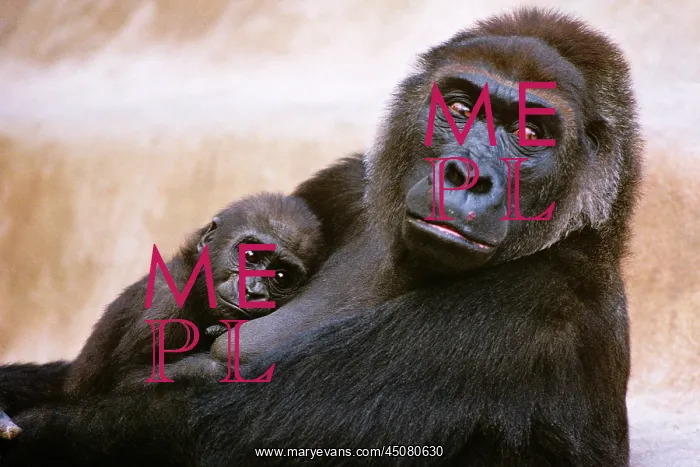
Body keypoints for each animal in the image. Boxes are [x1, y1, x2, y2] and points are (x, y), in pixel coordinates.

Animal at [0, 8, 642, 467]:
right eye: (459, 107)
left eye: (532, 132)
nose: (466, 175)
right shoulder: (348, 181)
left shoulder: (535, 306)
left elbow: (213, 434)